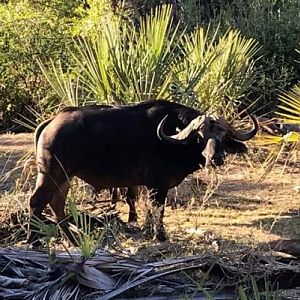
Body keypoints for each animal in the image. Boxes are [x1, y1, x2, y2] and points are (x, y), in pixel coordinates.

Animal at [28, 99, 258, 245]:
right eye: (200, 137)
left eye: (222, 136)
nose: (216, 158)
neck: (172, 141)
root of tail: (51, 122)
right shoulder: (158, 185)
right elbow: (158, 210)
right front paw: (160, 236)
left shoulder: (149, 186)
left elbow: (148, 208)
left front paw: (149, 232)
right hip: (51, 173)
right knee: (37, 201)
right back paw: (34, 240)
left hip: (64, 177)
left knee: (56, 204)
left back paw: (73, 240)